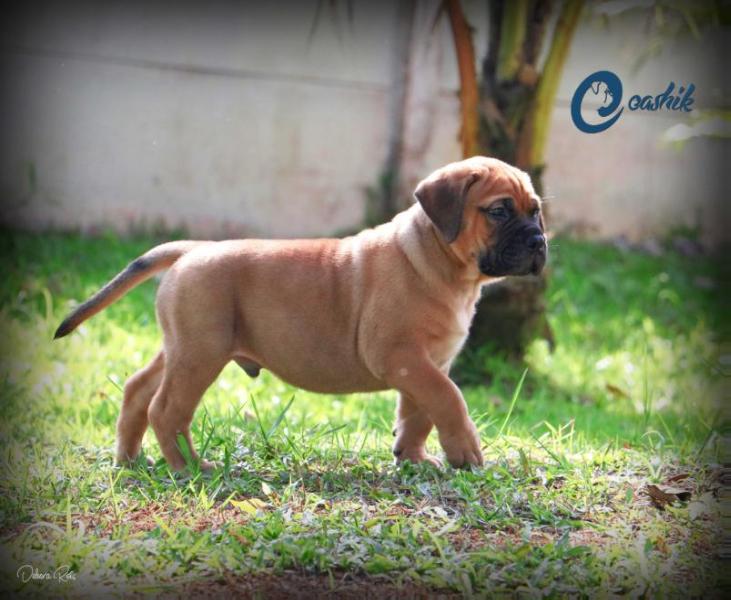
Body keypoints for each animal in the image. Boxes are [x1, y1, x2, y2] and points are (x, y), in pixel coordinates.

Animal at [55, 157, 544, 472]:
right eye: (499, 211)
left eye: (536, 211)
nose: (539, 241)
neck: (441, 264)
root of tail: (192, 249)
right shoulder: (403, 358)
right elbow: (449, 398)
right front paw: (465, 453)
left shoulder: (427, 364)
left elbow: (421, 412)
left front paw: (414, 458)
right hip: (200, 355)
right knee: (167, 409)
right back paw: (187, 466)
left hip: (182, 347)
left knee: (139, 389)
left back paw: (129, 457)